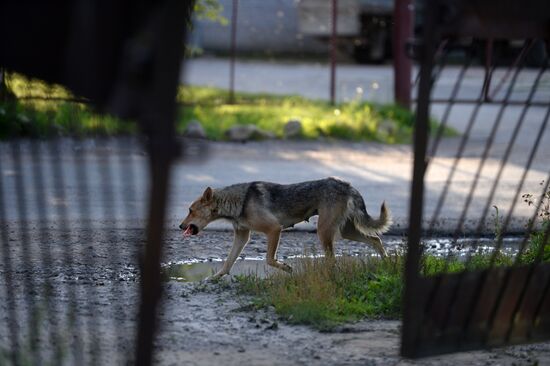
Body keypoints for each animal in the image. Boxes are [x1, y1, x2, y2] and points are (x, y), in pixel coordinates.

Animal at [181, 177, 392, 278]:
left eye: (191, 210)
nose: (180, 226)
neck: (238, 201)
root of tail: (347, 185)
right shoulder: (242, 237)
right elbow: (227, 262)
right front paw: (215, 278)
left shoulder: (274, 229)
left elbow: (269, 259)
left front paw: (287, 268)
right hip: (347, 231)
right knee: (376, 239)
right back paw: (386, 263)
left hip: (324, 231)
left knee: (332, 259)